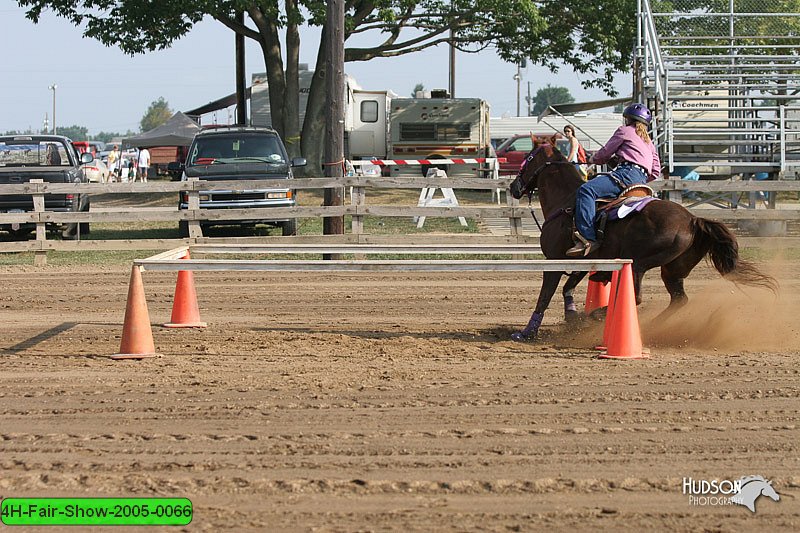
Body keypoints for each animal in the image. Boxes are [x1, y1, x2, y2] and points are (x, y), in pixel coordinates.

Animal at [506, 138, 776, 340]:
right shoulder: (581, 263)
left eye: (528, 157)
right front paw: (572, 318)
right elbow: (567, 288)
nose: (514, 187)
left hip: (638, 263)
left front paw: (527, 332)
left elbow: (545, 296)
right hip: (673, 271)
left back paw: (598, 315)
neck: (565, 200)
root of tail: (692, 220)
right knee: (679, 300)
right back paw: (651, 326)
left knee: (636, 297)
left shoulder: (552, 261)